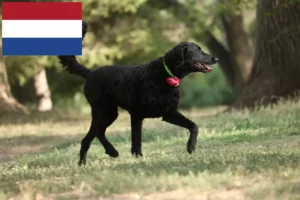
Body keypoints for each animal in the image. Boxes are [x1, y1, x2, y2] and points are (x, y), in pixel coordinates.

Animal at [58, 22, 218, 166]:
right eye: (197, 50)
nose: (216, 58)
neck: (166, 74)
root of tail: (90, 73)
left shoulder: (169, 113)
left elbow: (194, 126)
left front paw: (191, 146)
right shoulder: (137, 114)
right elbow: (136, 140)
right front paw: (138, 157)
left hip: (108, 113)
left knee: (99, 132)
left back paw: (110, 152)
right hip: (105, 111)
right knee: (89, 137)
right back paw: (85, 162)